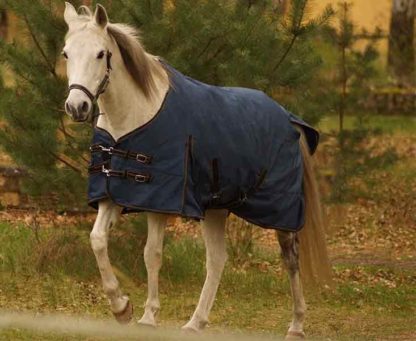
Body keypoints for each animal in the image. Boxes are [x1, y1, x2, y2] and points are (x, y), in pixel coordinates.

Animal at [62, 2, 332, 338]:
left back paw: (296, 324)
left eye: (101, 53)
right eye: (66, 54)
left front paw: (146, 316)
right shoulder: (117, 194)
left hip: (280, 211)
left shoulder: (159, 201)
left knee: (290, 258)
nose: (77, 107)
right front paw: (122, 308)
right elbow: (99, 240)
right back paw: (195, 322)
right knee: (216, 259)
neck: (133, 117)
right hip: (216, 207)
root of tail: (289, 118)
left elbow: (152, 254)